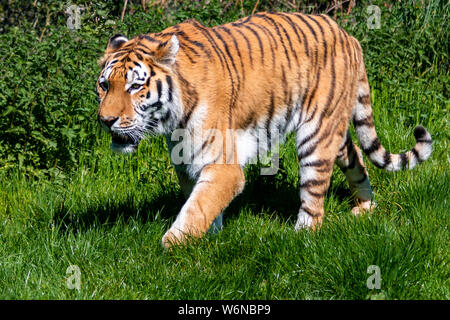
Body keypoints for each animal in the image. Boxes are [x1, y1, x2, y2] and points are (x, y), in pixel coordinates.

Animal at [96, 11, 432, 248]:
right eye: (104, 85)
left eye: (135, 86)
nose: (105, 120)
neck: (171, 120)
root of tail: (348, 35)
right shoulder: (185, 159)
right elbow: (200, 201)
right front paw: (210, 237)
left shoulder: (222, 164)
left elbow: (197, 207)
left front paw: (172, 246)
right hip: (334, 127)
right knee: (357, 158)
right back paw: (365, 207)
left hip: (316, 134)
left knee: (314, 196)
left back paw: (301, 236)